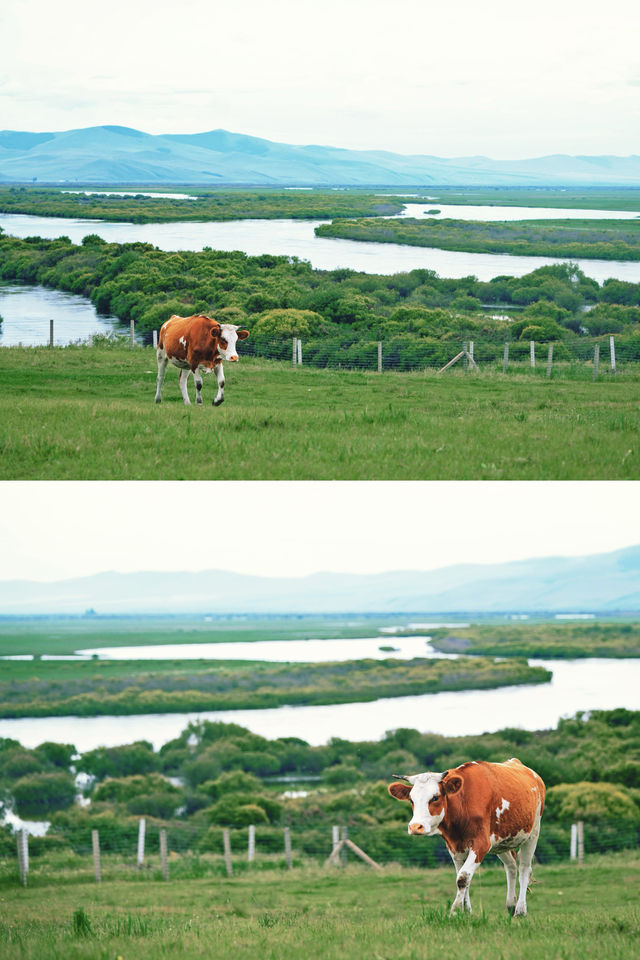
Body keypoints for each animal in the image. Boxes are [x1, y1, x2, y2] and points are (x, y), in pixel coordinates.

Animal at [390, 756, 544, 916]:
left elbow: (463, 878)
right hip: (501, 842)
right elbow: (463, 878)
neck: (463, 804)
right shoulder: (455, 847)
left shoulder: (481, 845)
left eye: (435, 798)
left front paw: (454, 910)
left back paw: (520, 910)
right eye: (411, 800)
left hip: (533, 834)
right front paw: (466, 912)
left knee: (524, 869)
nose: (415, 827)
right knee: (511, 866)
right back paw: (511, 905)